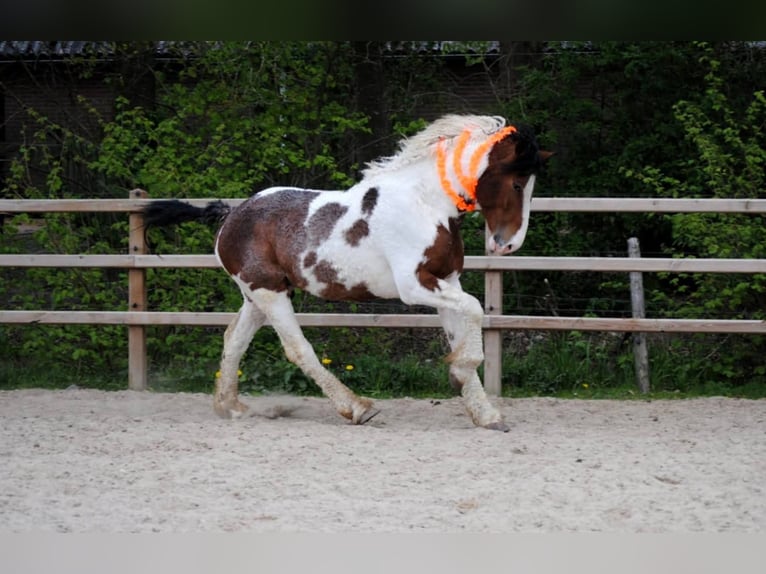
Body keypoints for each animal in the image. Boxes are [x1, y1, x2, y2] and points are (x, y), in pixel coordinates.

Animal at [143, 114, 552, 431]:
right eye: (517, 183)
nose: (507, 245)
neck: (423, 204)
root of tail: (230, 216)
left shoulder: (446, 280)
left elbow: (463, 323)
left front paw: (485, 412)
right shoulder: (413, 286)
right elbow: (476, 309)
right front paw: (463, 368)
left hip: (258, 296)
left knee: (234, 340)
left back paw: (231, 407)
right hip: (269, 292)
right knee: (298, 349)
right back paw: (357, 407)